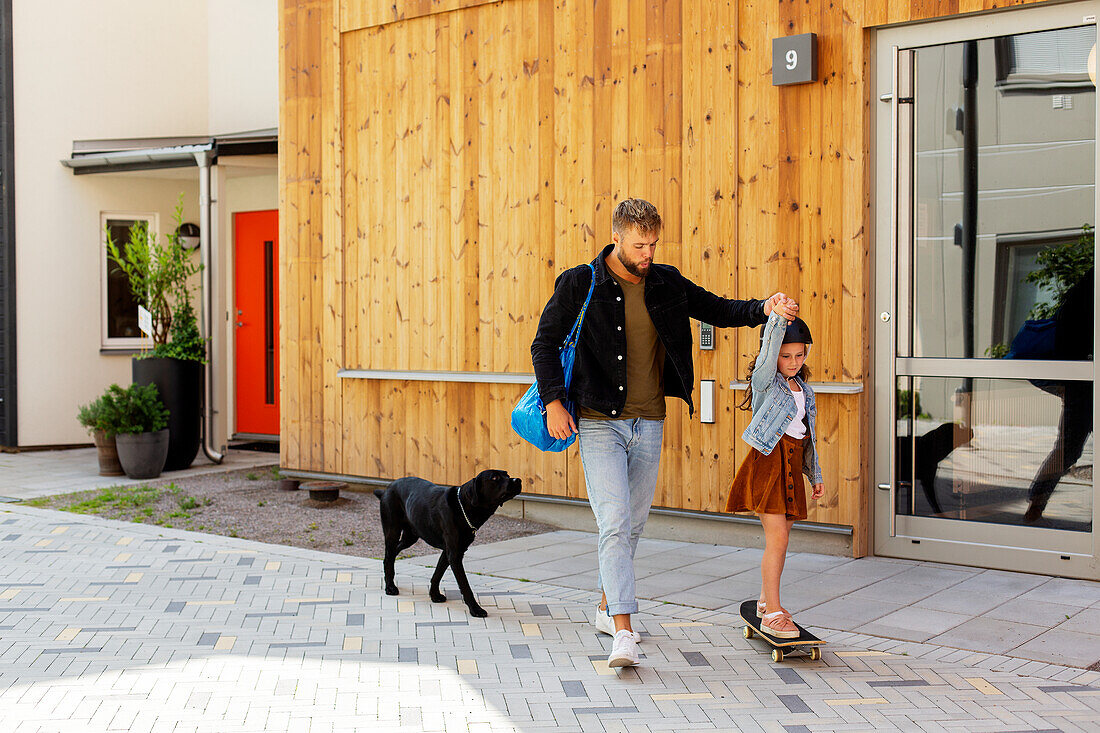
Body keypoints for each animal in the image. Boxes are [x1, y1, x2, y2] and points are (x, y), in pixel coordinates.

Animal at [371, 468, 521, 616]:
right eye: (495, 478)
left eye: (507, 474)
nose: (518, 480)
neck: (464, 506)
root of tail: (388, 488)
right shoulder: (454, 554)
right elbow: (465, 585)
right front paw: (475, 609)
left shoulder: (451, 551)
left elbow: (437, 574)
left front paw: (434, 595)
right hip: (392, 531)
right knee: (389, 556)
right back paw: (390, 587)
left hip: (410, 536)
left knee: (391, 554)